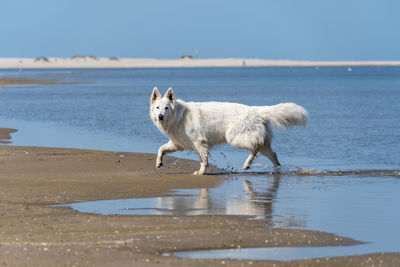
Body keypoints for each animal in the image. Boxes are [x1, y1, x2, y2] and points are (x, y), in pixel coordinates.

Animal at [148, 87, 308, 176]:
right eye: (157, 108)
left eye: (166, 108)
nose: (160, 116)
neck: (178, 116)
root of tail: (255, 110)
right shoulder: (180, 143)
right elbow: (161, 149)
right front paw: (158, 163)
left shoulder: (199, 142)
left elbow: (203, 160)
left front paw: (201, 172)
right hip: (261, 142)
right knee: (272, 154)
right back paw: (277, 170)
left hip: (234, 137)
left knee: (255, 147)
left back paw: (247, 164)